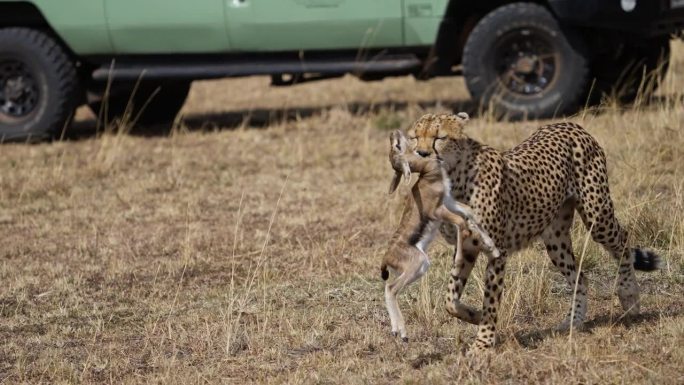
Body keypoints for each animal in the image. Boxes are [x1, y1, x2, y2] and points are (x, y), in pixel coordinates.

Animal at [382, 121, 500, 342]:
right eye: (397, 146)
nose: (394, 133)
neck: (428, 173)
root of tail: (386, 258)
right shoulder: (438, 210)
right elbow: (462, 223)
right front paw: (463, 260)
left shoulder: (449, 200)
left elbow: (470, 214)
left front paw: (492, 247)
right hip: (418, 263)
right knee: (390, 288)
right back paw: (402, 332)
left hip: (422, 267)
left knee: (389, 286)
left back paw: (396, 329)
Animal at [404, 113, 660, 352]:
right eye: (415, 137)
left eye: (440, 137)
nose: (421, 154)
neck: (454, 176)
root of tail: (569, 124)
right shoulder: (465, 245)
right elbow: (450, 299)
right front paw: (474, 316)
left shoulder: (496, 250)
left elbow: (491, 301)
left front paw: (483, 343)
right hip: (555, 239)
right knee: (581, 277)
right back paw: (572, 322)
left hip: (597, 216)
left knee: (623, 240)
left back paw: (629, 296)